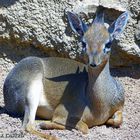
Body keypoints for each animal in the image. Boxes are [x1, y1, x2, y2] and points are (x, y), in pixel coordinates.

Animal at [3, 11, 129, 140]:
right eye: (83, 42)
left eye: (108, 43)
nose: (93, 63)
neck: (99, 104)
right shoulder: (61, 112)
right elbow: (84, 127)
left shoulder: (120, 107)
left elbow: (117, 121)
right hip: (33, 92)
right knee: (28, 126)